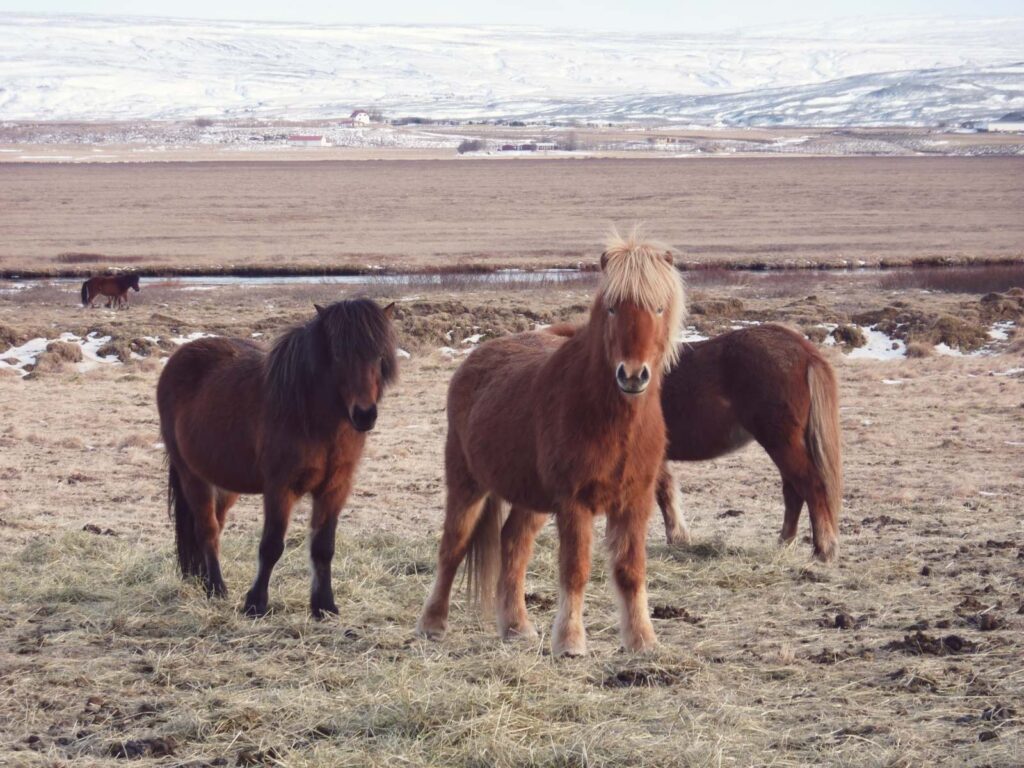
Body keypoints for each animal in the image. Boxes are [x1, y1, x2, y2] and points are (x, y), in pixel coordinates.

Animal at [156, 299, 398, 617]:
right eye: (337, 354)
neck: (311, 416)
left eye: (379, 354)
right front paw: (255, 603)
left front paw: (324, 605)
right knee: (207, 529)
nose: (364, 414)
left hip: (224, 483)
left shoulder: (335, 488)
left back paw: (209, 582)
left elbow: (324, 547)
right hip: (192, 476)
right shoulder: (280, 487)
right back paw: (216, 588)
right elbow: (271, 545)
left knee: (215, 528)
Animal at [416, 233, 686, 656]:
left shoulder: (635, 501)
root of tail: (477, 357)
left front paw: (642, 640)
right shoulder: (574, 503)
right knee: (452, 547)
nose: (632, 375)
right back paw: (433, 624)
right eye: (612, 308)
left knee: (513, 543)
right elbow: (575, 570)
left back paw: (516, 627)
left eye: (659, 308)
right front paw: (571, 642)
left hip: (533, 499)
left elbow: (631, 571)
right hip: (467, 485)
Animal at [656, 323, 842, 562]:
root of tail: (805, 351)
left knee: (811, 486)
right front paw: (679, 539)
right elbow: (666, 491)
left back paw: (823, 550)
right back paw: (785, 544)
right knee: (794, 492)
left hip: (782, 444)